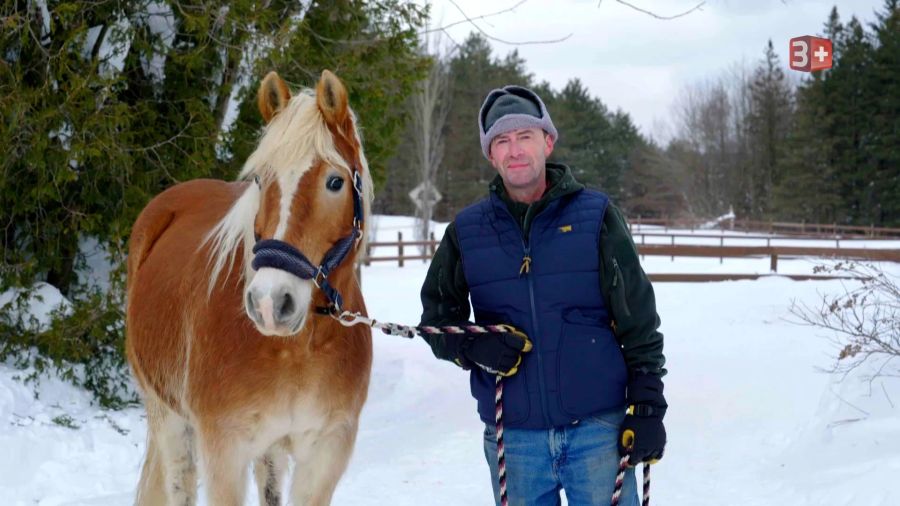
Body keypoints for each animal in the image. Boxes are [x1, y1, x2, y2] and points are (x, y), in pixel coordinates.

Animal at [125, 68, 372, 506]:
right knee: (179, 482)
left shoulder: (326, 451)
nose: (270, 303)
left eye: (335, 182)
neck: (299, 350)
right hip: (167, 416)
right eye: (260, 180)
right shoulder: (224, 450)